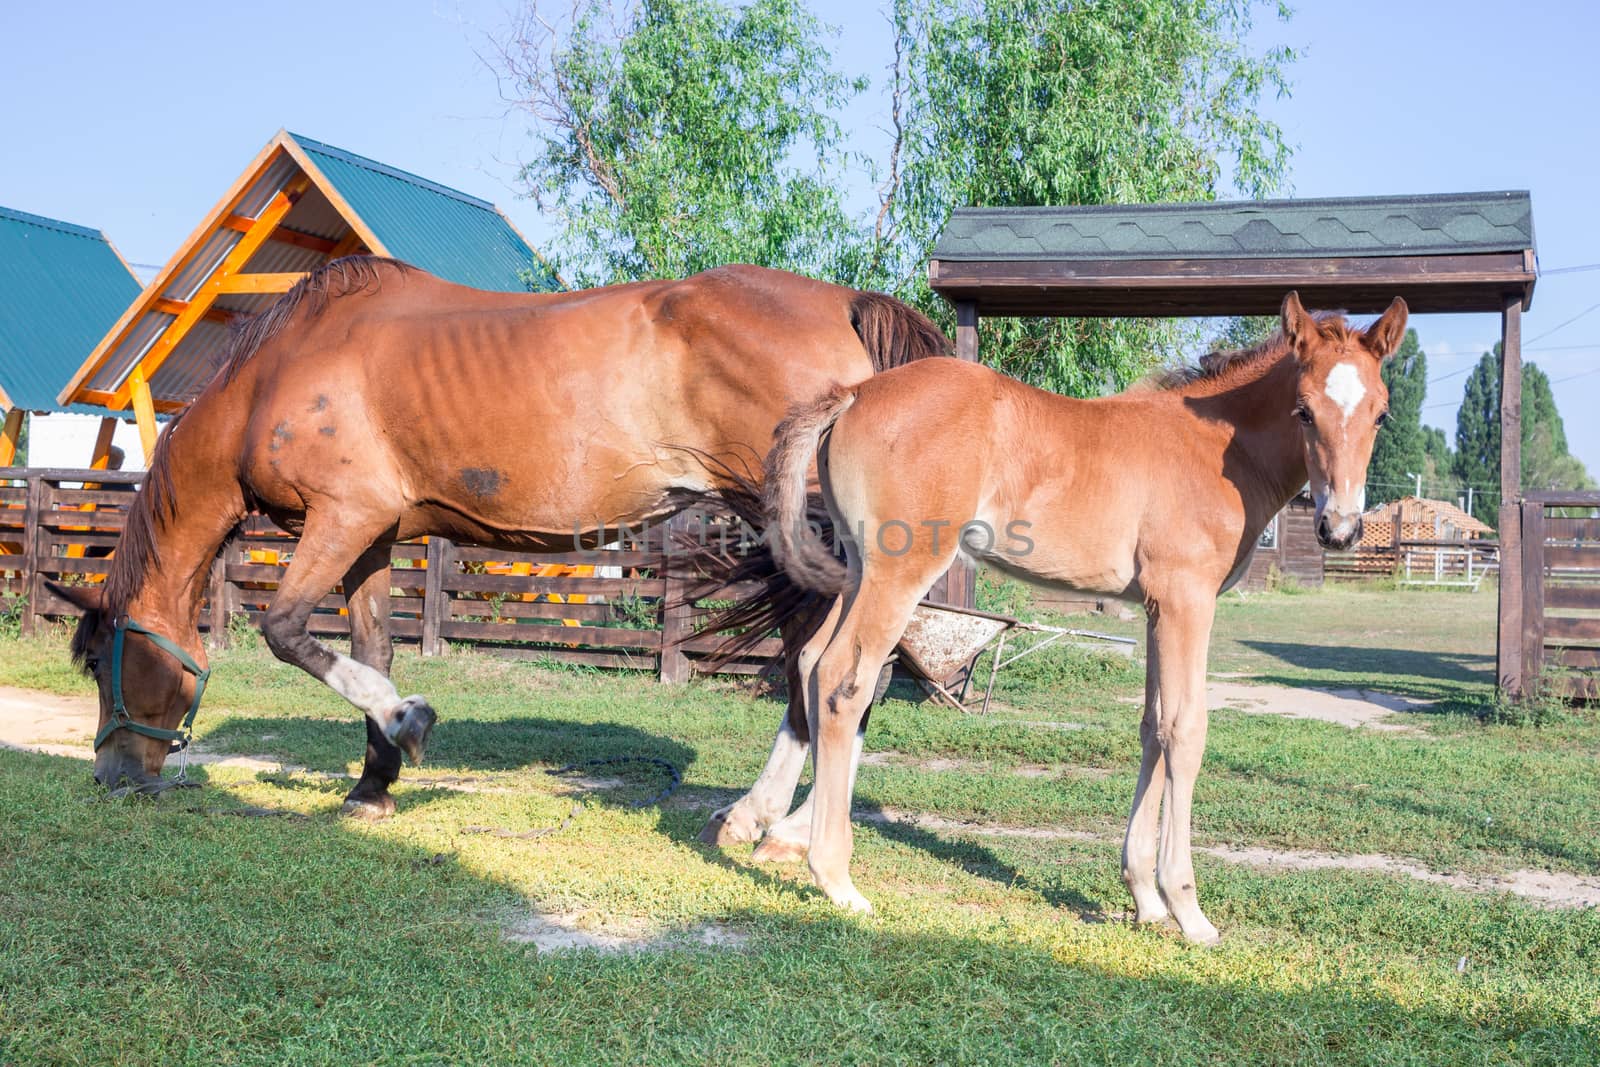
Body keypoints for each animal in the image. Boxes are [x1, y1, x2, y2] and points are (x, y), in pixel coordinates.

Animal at [56, 255, 940, 809]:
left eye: (103, 664)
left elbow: (285, 631)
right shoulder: (373, 535)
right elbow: (370, 649)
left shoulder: (342, 517)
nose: (111, 774)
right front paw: (373, 781)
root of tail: (844, 305)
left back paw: (762, 818)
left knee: (819, 664)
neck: (276, 375)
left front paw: (410, 724)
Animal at [758, 292, 1401, 940]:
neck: (1220, 450)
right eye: (1303, 410)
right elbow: (1185, 730)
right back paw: (835, 878)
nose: (1339, 528)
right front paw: (1187, 909)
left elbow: (1152, 726)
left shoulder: (1156, 608)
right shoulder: (1188, 600)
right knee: (844, 680)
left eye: (1380, 415)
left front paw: (1145, 899)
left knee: (810, 661)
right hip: (898, 574)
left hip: (858, 569)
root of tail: (855, 393)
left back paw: (775, 832)